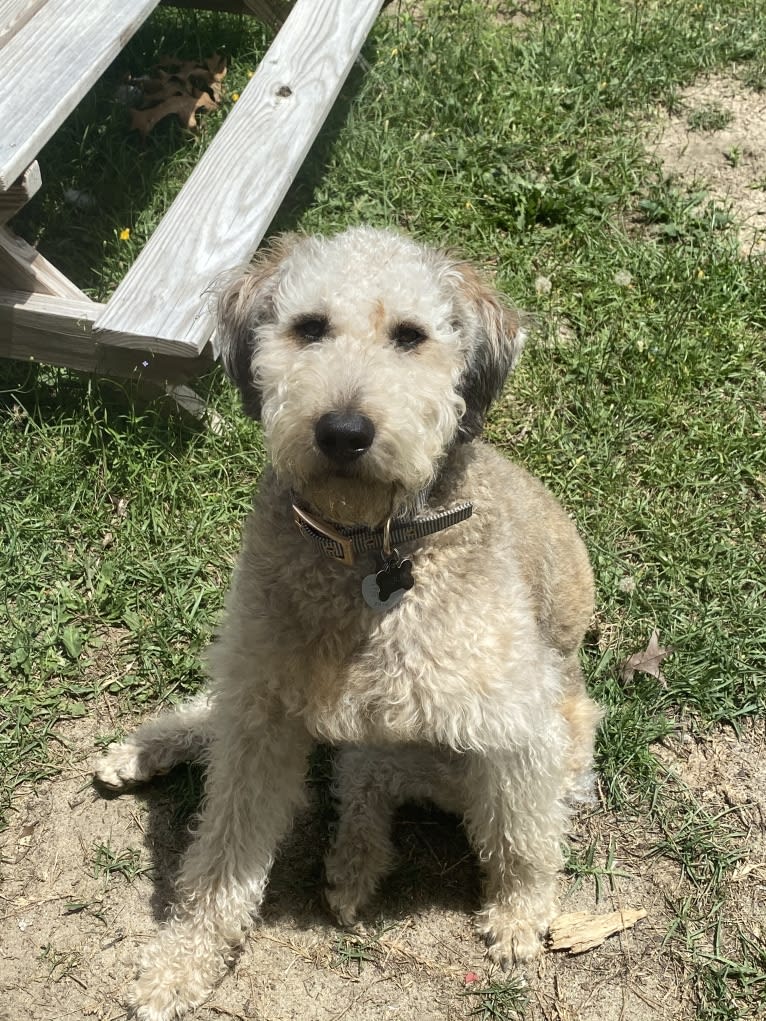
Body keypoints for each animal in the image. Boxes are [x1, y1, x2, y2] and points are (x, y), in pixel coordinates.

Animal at [94, 227, 600, 1016]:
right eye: (309, 328)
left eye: (411, 336)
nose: (343, 431)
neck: (369, 550)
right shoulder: (262, 718)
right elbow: (221, 854)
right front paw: (182, 962)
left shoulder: (518, 728)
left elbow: (522, 836)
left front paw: (520, 916)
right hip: (266, 680)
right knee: (300, 751)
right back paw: (153, 749)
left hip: (453, 753)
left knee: (372, 784)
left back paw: (354, 863)